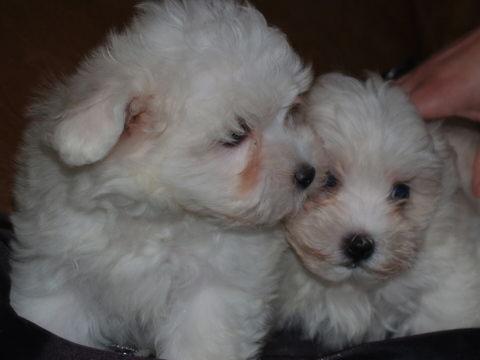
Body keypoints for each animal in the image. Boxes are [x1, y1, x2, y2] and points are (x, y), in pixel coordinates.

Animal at [9, 1, 316, 358]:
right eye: (237, 135)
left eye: (289, 113)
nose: (307, 174)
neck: (158, 219)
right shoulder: (61, 272)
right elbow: (55, 319)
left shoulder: (214, 290)